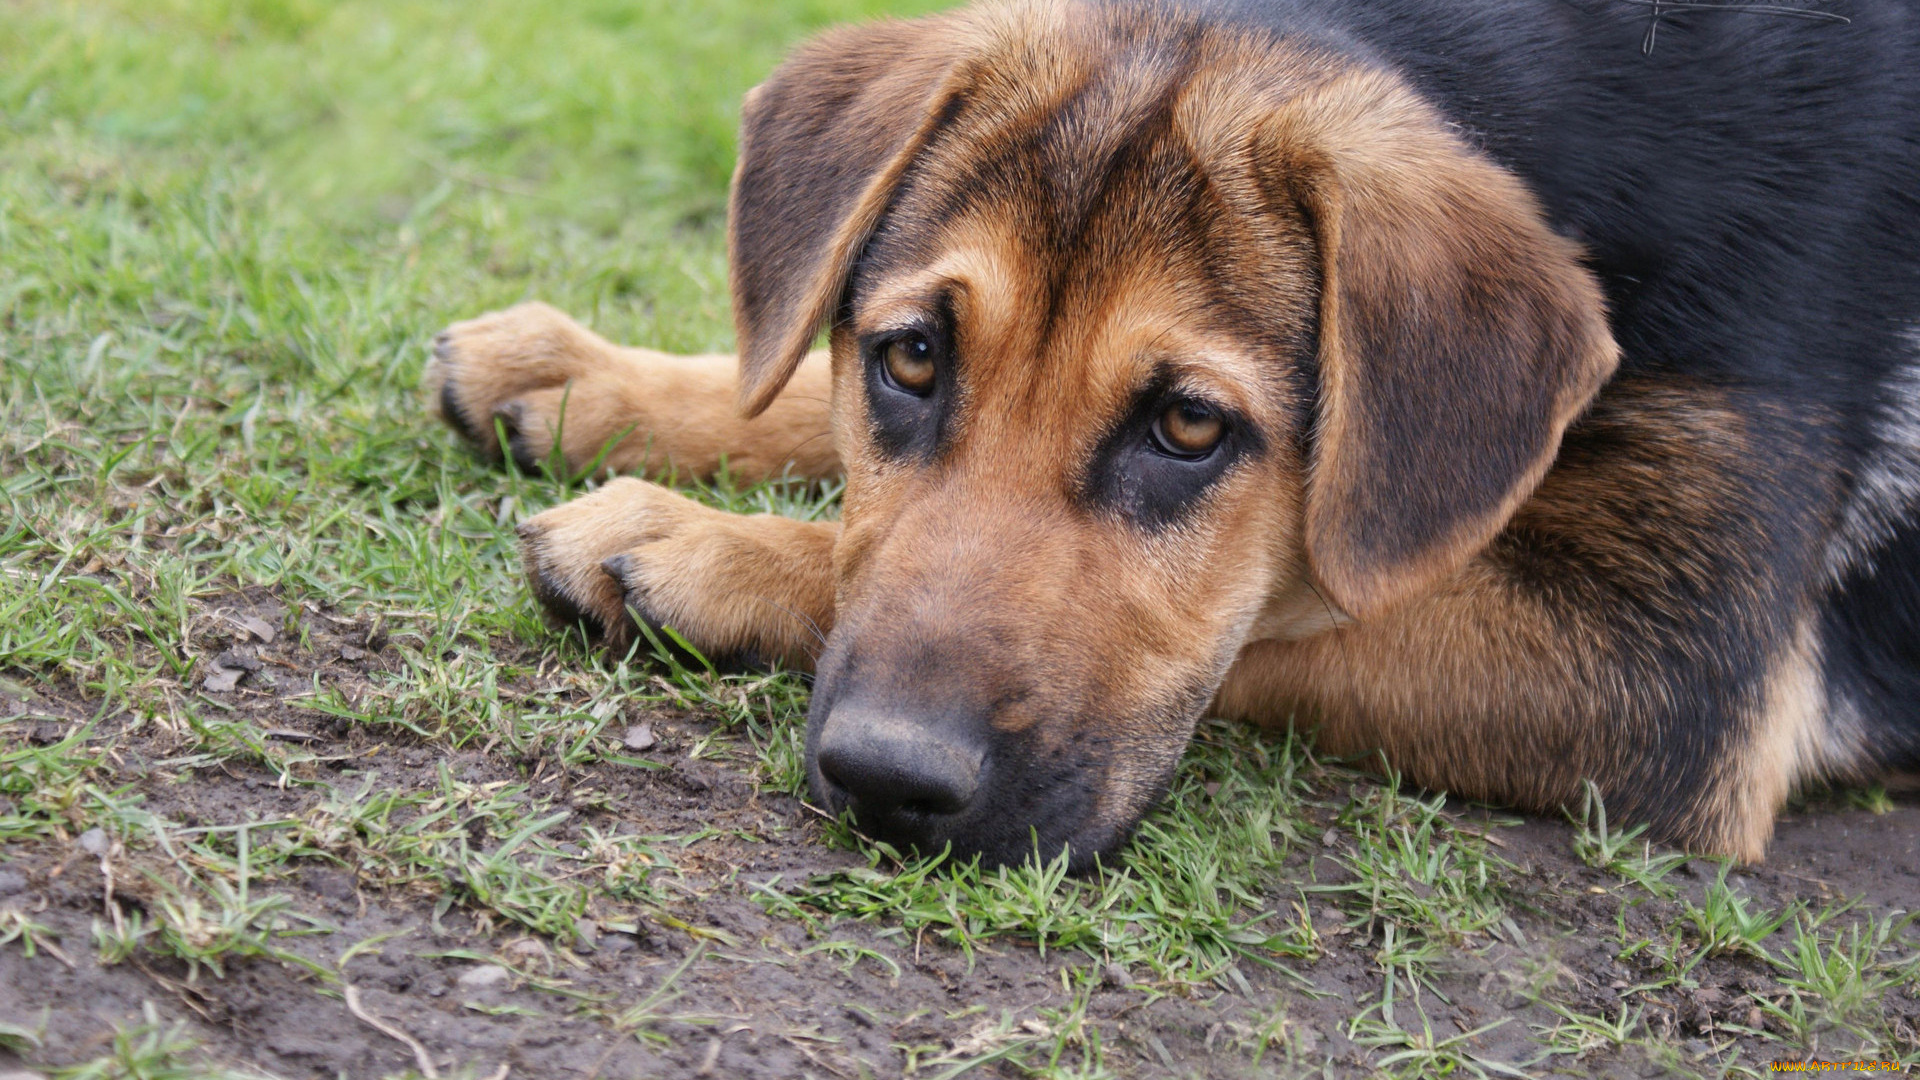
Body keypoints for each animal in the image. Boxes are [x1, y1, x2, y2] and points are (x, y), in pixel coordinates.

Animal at [428, 0, 1920, 860]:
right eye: (912, 356)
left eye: (1191, 428)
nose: (888, 782)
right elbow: (804, 400)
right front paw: (592, 376)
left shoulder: (1677, 668)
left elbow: (1296, 606)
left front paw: (698, 546)